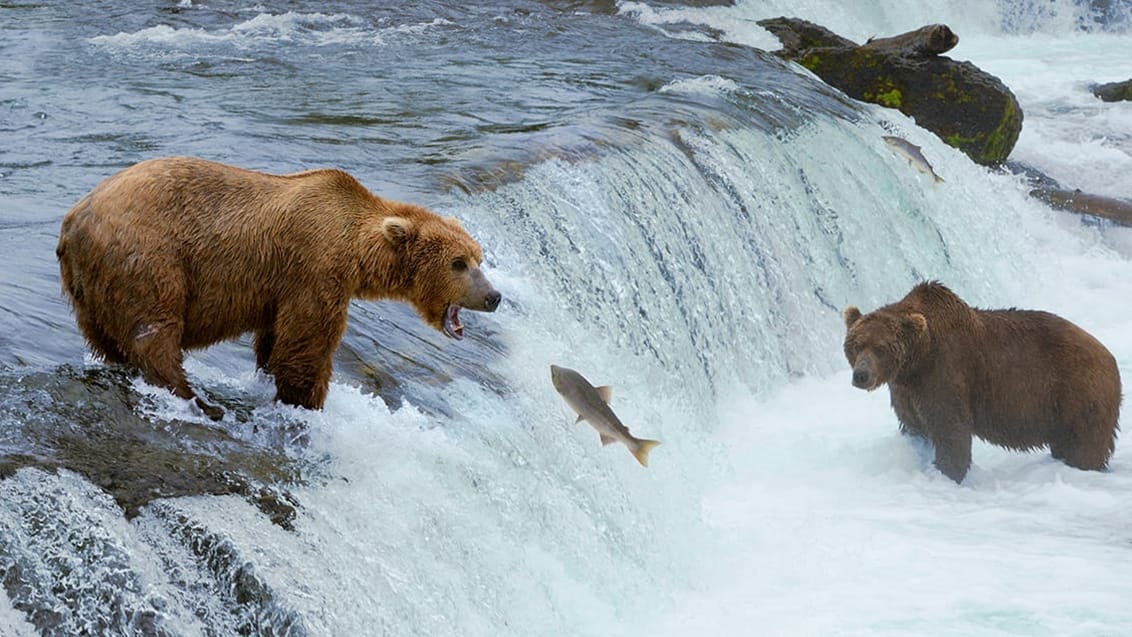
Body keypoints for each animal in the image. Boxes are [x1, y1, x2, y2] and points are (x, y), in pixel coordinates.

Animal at [56, 157, 500, 420]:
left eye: (479, 257)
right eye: (458, 263)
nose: (493, 296)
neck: (356, 249)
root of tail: (74, 218)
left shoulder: (281, 287)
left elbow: (275, 341)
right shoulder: (315, 269)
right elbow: (307, 344)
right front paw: (306, 401)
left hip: (89, 288)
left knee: (107, 338)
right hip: (149, 257)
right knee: (155, 330)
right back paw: (196, 399)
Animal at [846, 281, 1118, 481]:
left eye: (880, 348)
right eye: (856, 344)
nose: (861, 375)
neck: (917, 360)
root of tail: (1108, 356)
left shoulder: (945, 372)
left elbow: (951, 429)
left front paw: (948, 473)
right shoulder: (906, 389)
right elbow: (913, 424)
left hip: (1079, 393)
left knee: (1085, 445)